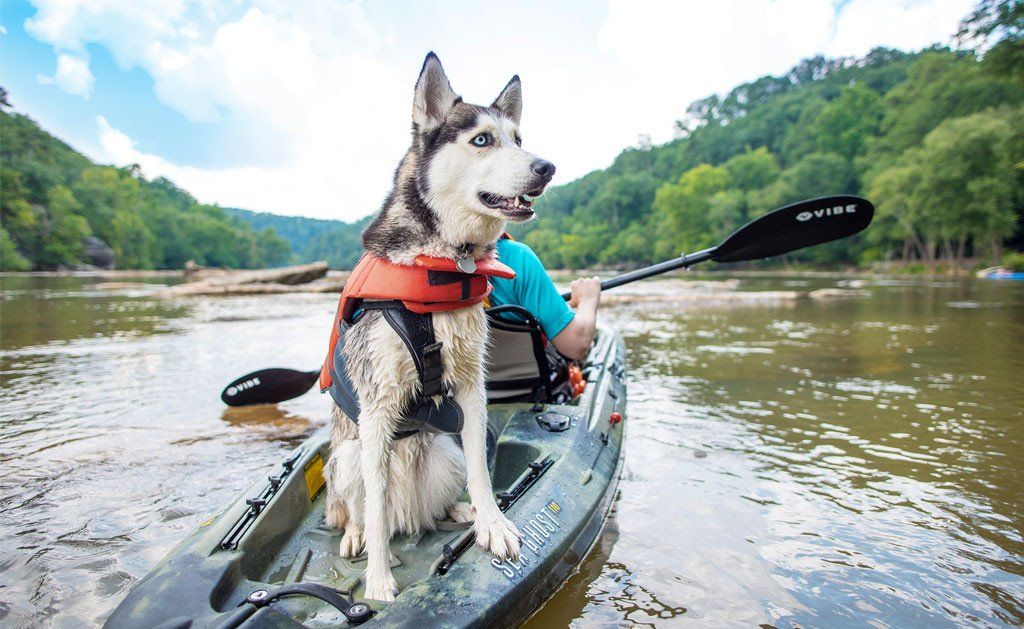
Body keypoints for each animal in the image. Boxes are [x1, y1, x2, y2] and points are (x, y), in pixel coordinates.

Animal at [323, 53, 557, 602]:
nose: (546, 167)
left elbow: (481, 470)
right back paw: (360, 533)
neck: (442, 262)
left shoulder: (471, 383)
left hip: (444, 450)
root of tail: (412, 518)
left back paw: (458, 511)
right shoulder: (378, 406)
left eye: (519, 137)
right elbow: (375, 504)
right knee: (367, 508)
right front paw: (379, 581)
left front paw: (492, 523)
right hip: (347, 457)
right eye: (481, 140)